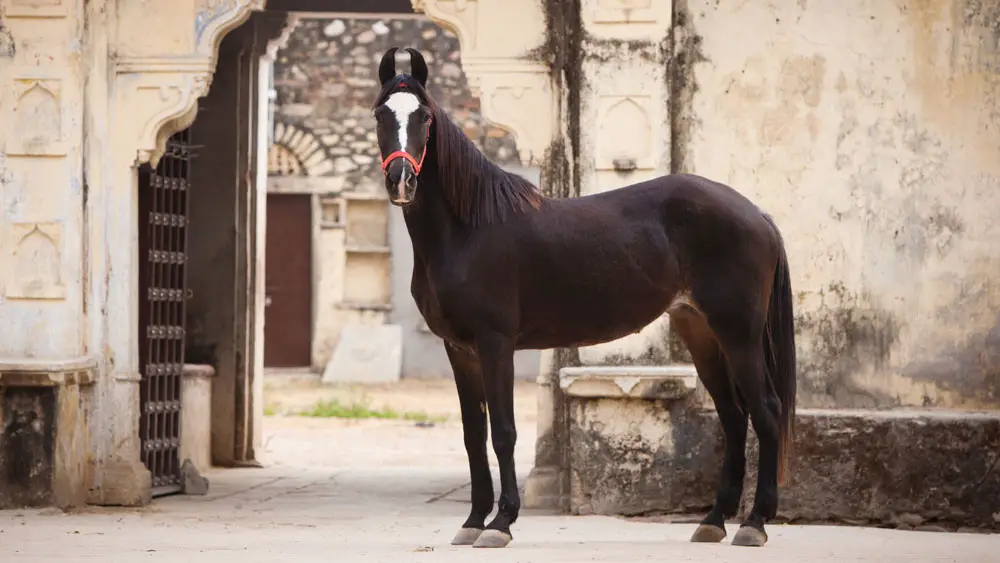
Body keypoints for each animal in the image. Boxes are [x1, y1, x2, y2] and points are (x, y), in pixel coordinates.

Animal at [372, 48, 800, 552]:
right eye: (381, 114)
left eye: (424, 117)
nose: (401, 180)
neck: (467, 231)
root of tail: (757, 214)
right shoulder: (459, 350)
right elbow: (473, 435)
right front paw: (474, 520)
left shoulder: (495, 344)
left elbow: (503, 433)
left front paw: (501, 523)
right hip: (701, 332)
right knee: (733, 417)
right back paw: (713, 521)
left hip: (739, 333)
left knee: (766, 412)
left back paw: (755, 524)